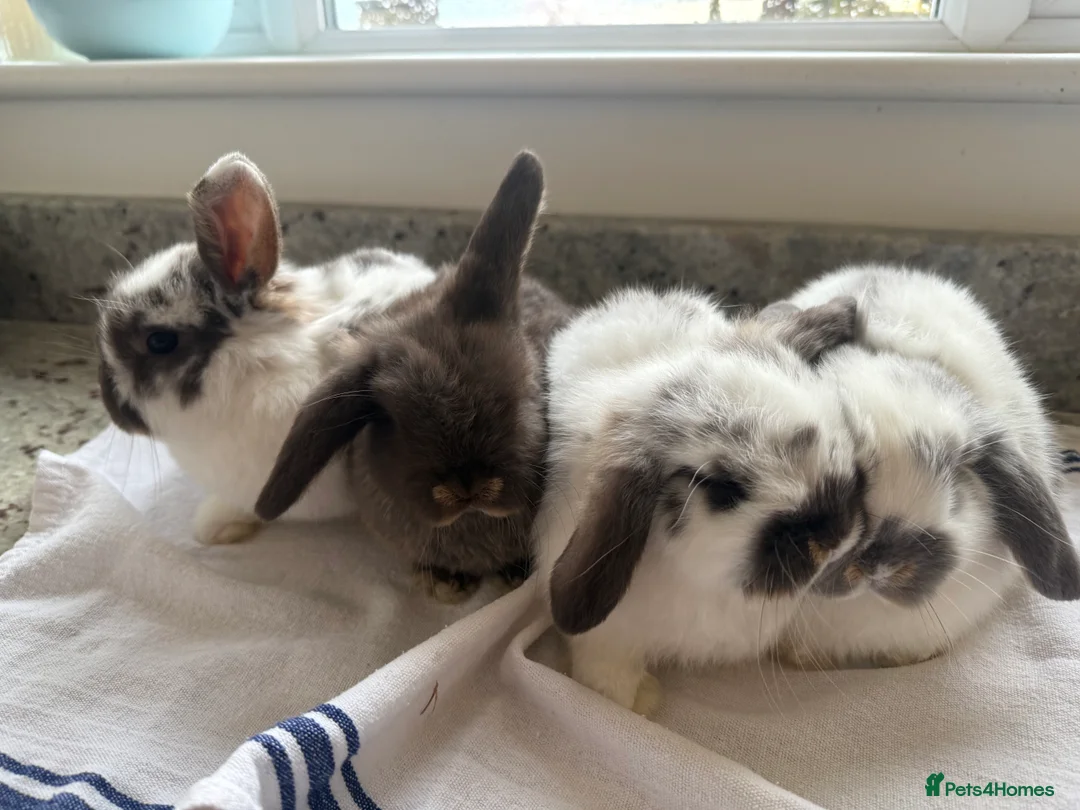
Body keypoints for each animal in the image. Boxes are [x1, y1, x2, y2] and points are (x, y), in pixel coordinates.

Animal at [534, 287, 865, 715]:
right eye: (722, 487)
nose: (831, 539)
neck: (707, 582)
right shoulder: (605, 640)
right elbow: (607, 677)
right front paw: (638, 704)